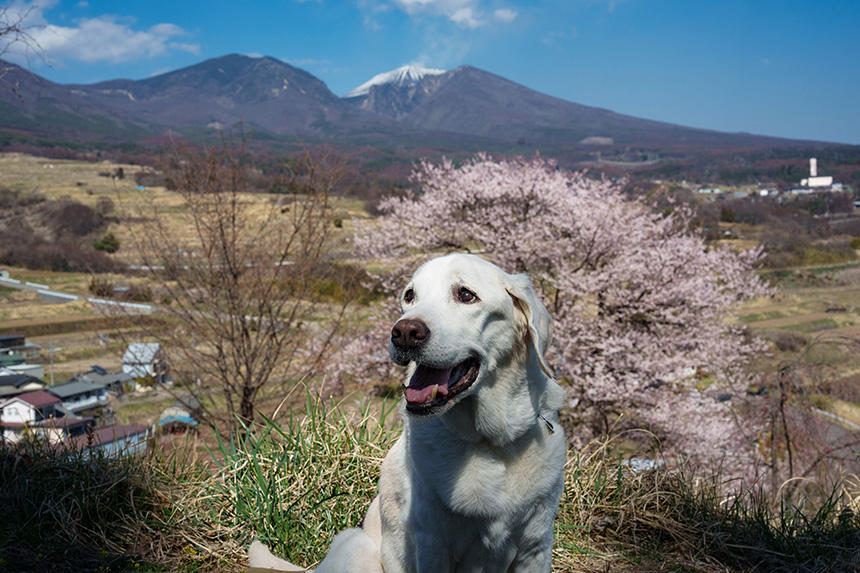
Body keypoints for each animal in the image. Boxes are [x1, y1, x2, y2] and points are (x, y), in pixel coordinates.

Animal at [249, 255, 568, 572]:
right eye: (410, 295)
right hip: (357, 548)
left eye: (466, 295)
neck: (490, 444)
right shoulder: (433, 547)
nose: (403, 332)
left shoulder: (535, 548)